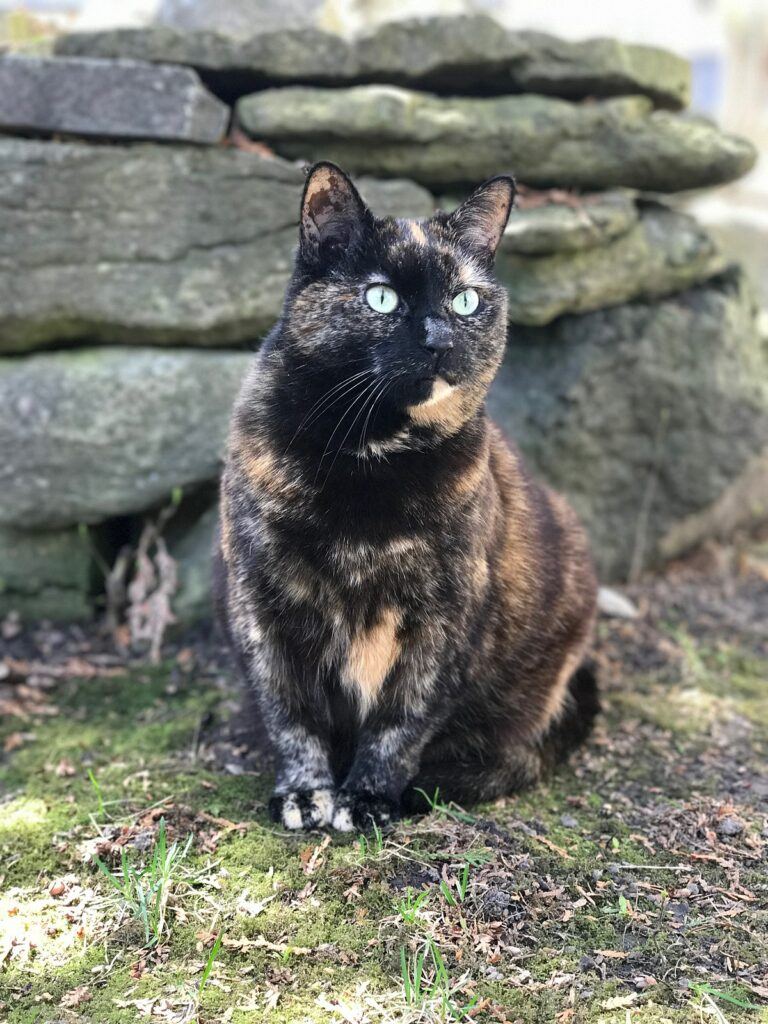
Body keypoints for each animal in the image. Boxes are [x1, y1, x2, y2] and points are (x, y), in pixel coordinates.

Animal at [217, 159, 602, 831]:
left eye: (464, 300)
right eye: (382, 297)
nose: (438, 337)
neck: (366, 461)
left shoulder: (445, 615)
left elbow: (403, 718)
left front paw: (370, 795)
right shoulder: (261, 603)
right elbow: (290, 713)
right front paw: (304, 792)